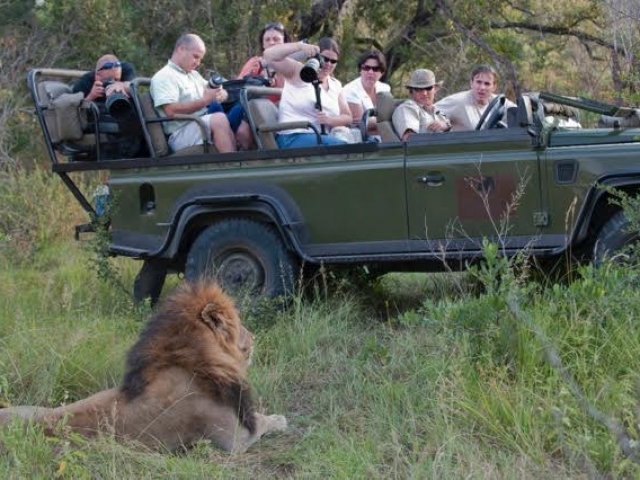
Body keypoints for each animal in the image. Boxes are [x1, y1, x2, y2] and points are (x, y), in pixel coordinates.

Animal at [0, 280, 286, 452]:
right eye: (239, 325)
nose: (255, 337)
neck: (195, 364)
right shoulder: (232, 438)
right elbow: (262, 423)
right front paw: (280, 419)